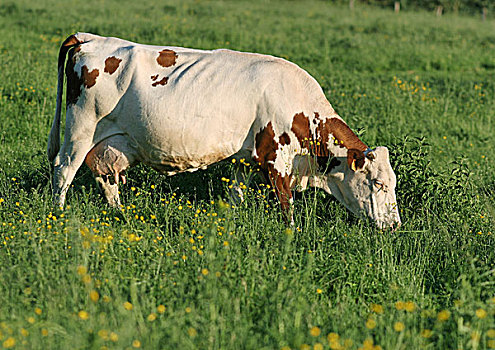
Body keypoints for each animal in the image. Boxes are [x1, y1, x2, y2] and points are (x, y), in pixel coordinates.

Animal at [47, 32, 404, 230]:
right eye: (378, 183)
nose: (395, 225)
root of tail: (90, 38)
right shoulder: (276, 159)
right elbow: (286, 205)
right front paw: (292, 236)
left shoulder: (244, 158)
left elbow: (236, 195)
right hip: (80, 128)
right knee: (64, 169)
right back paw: (57, 214)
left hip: (108, 143)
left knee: (106, 178)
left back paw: (120, 213)